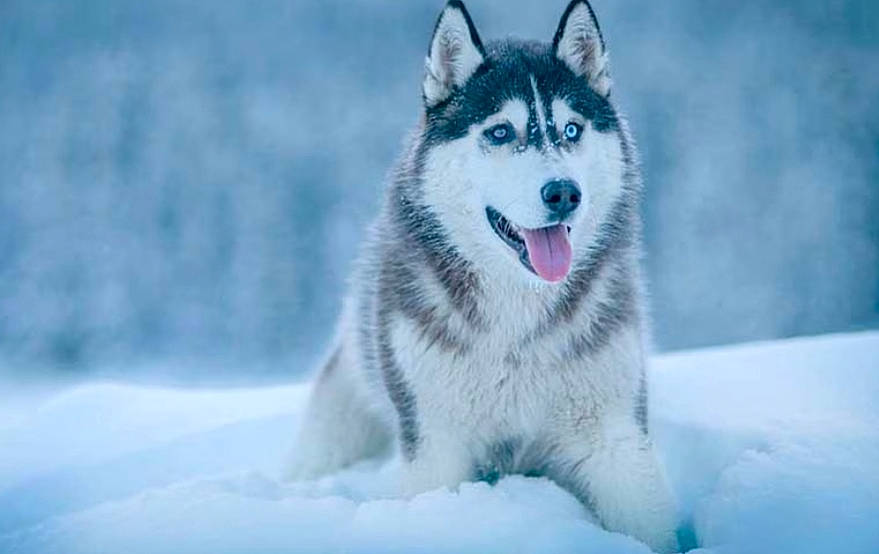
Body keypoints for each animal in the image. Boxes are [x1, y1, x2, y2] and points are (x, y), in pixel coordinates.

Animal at [289, 1, 678, 551]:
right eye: (499, 132)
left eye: (572, 130)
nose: (564, 192)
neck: (517, 323)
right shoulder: (436, 445)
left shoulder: (614, 435)